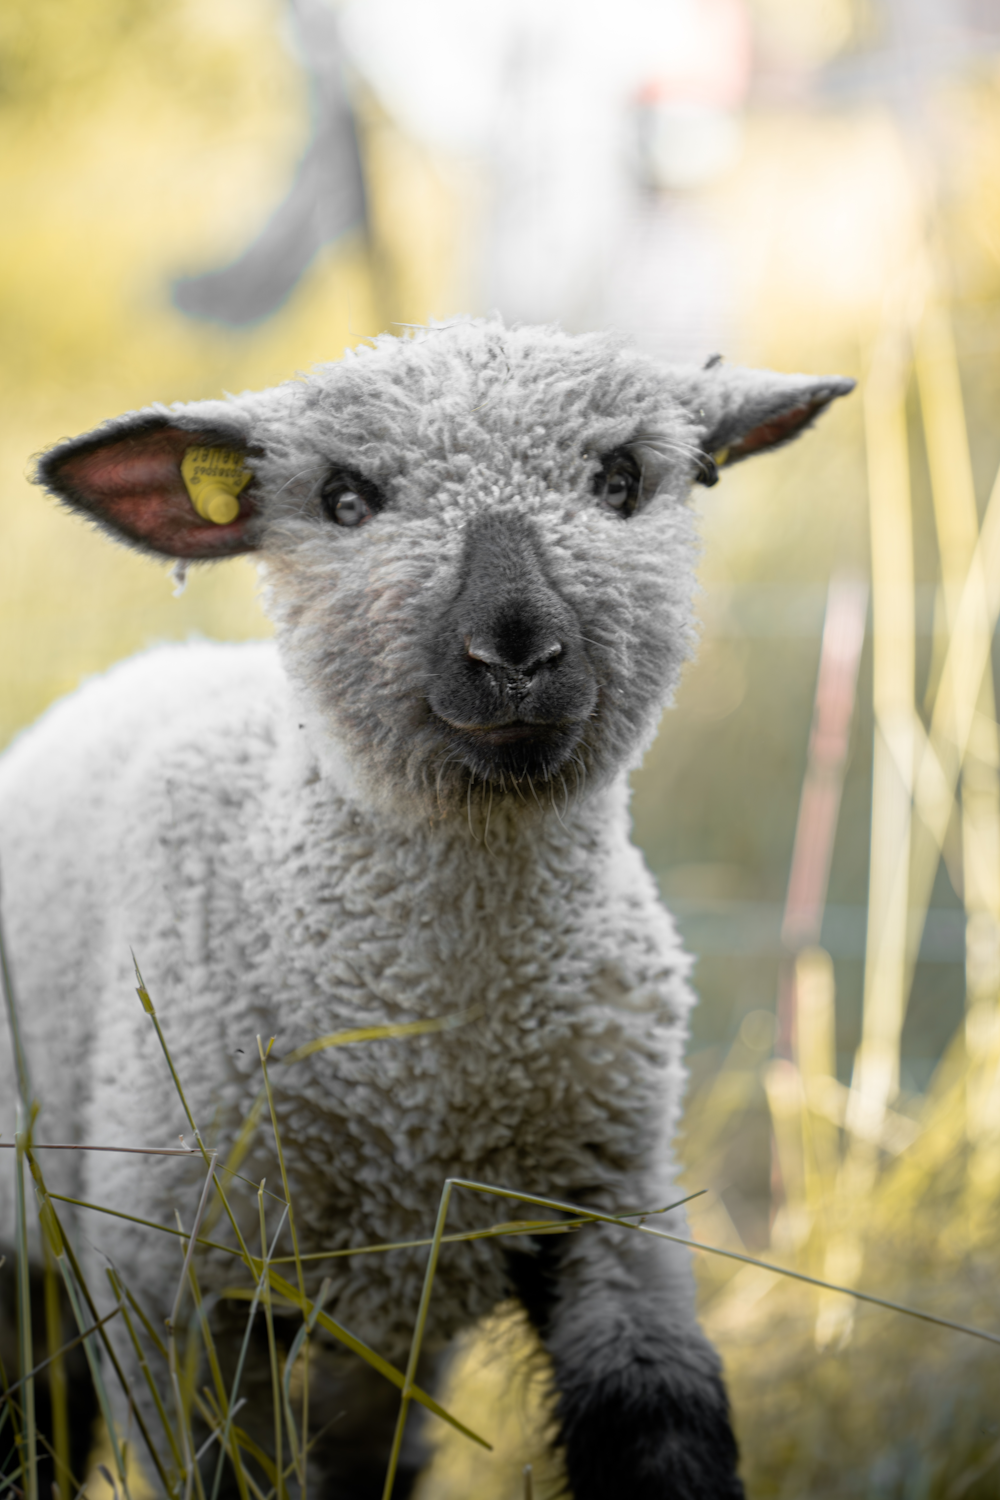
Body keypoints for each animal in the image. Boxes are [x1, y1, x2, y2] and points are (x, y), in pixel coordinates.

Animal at [0, 322, 851, 1494]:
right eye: (346, 499)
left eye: (621, 479)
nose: (516, 650)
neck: (439, 1061)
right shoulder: (169, 1282)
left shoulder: (615, 1214)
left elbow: (663, 1438)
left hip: (387, 1329)